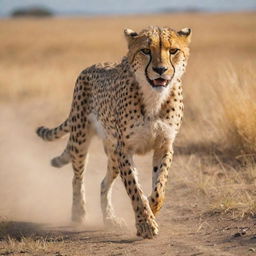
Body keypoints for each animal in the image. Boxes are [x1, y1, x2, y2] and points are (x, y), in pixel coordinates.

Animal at [37, 25, 191, 238]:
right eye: (146, 50)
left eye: (173, 50)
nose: (160, 70)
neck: (154, 97)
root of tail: (90, 66)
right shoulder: (124, 149)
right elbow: (135, 189)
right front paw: (145, 224)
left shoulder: (163, 145)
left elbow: (159, 187)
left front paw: (152, 209)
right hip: (81, 140)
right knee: (77, 177)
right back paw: (78, 212)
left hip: (111, 152)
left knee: (103, 183)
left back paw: (110, 219)